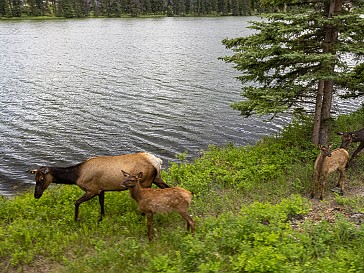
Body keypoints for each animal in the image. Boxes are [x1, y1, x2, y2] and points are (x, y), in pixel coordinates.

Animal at [27, 152, 169, 220]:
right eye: (35, 178)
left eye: (41, 179)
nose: (36, 195)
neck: (76, 176)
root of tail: (157, 162)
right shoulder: (101, 189)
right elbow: (101, 203)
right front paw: (101, 218)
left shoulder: (92, 189)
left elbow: (76, 202)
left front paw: (76, 219)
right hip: (156, 178)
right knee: (167, 187)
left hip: (146, 181)